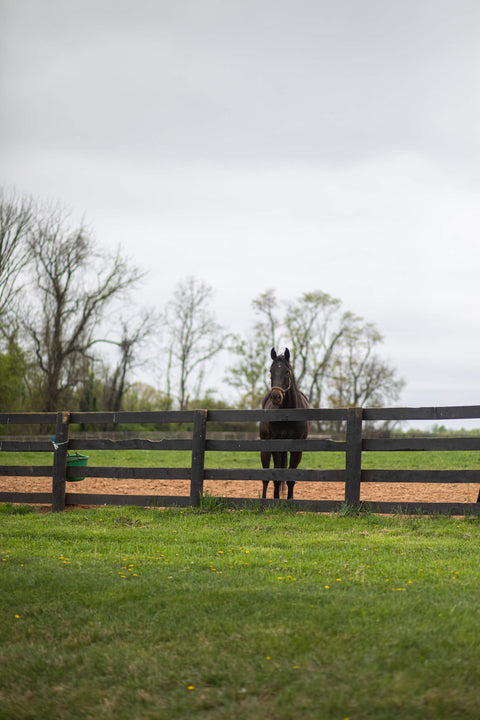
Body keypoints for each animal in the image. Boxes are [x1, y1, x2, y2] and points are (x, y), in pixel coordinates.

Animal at [258, 348, 312, 500]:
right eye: (271, 370)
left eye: (287, 371)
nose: (276, 396)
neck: (288, 414)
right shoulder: (276, 444)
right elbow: (276, 476)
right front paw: (276, 499)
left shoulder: (297, 448)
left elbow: (291, 478)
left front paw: (290, 500)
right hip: (265, 447)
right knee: (265, 477)